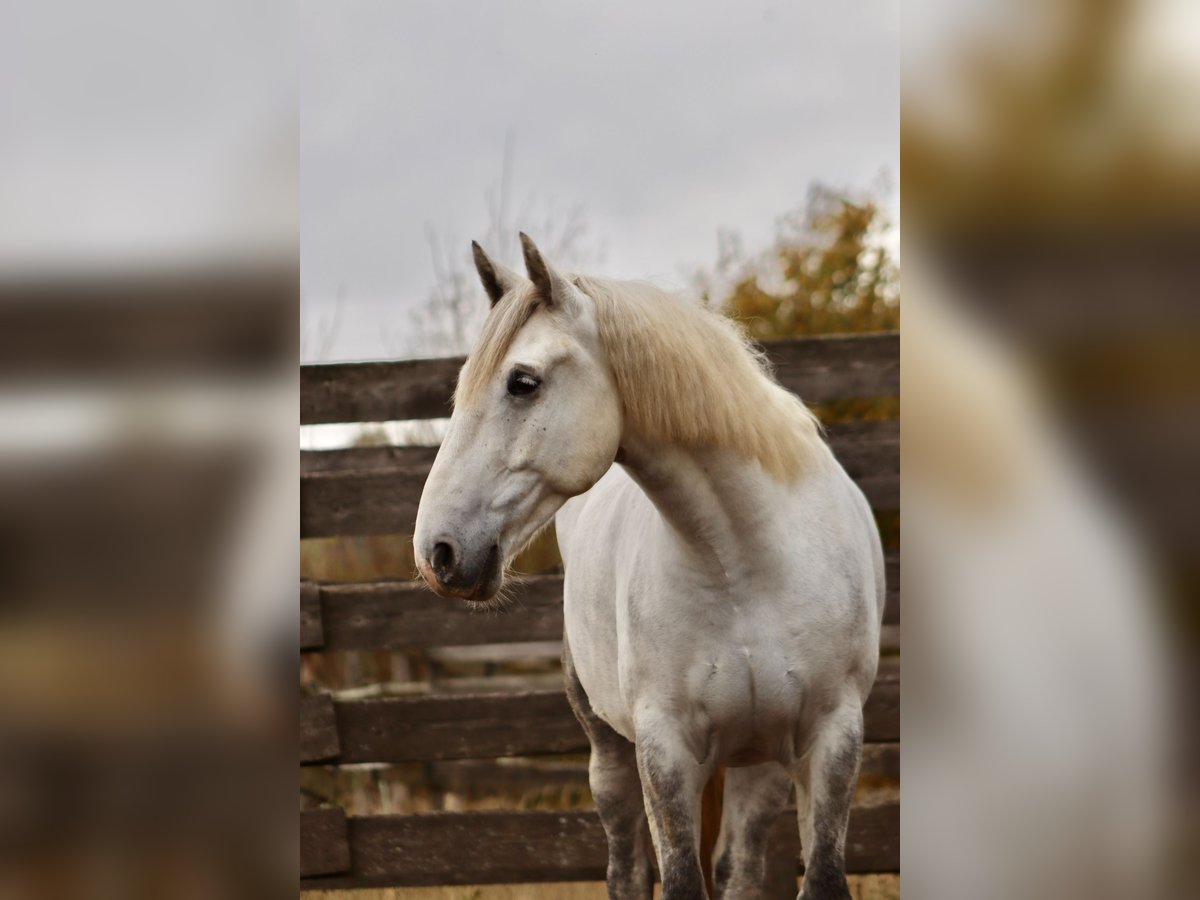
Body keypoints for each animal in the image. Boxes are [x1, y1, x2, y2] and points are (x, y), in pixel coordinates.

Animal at [417, 236, 888, 897]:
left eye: (522, 382)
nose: (438, 552)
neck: (747, 565)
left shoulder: (831, 737)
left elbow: (818, 877)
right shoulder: (664, 751)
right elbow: (680, 879)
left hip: (761, 762)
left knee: (740, 868)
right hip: (611, 756)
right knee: (628, 870)